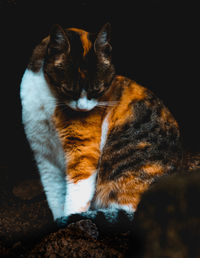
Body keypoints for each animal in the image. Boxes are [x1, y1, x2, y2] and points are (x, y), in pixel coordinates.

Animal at [19, 22, 182, 230]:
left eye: (98, 90)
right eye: (68, 90)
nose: (82, 108)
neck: (49, 98)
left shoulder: (82, 149)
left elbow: (77, 191)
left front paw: (70, 220)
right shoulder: (43, 154)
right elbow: (54, 193)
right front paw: (59, 219)